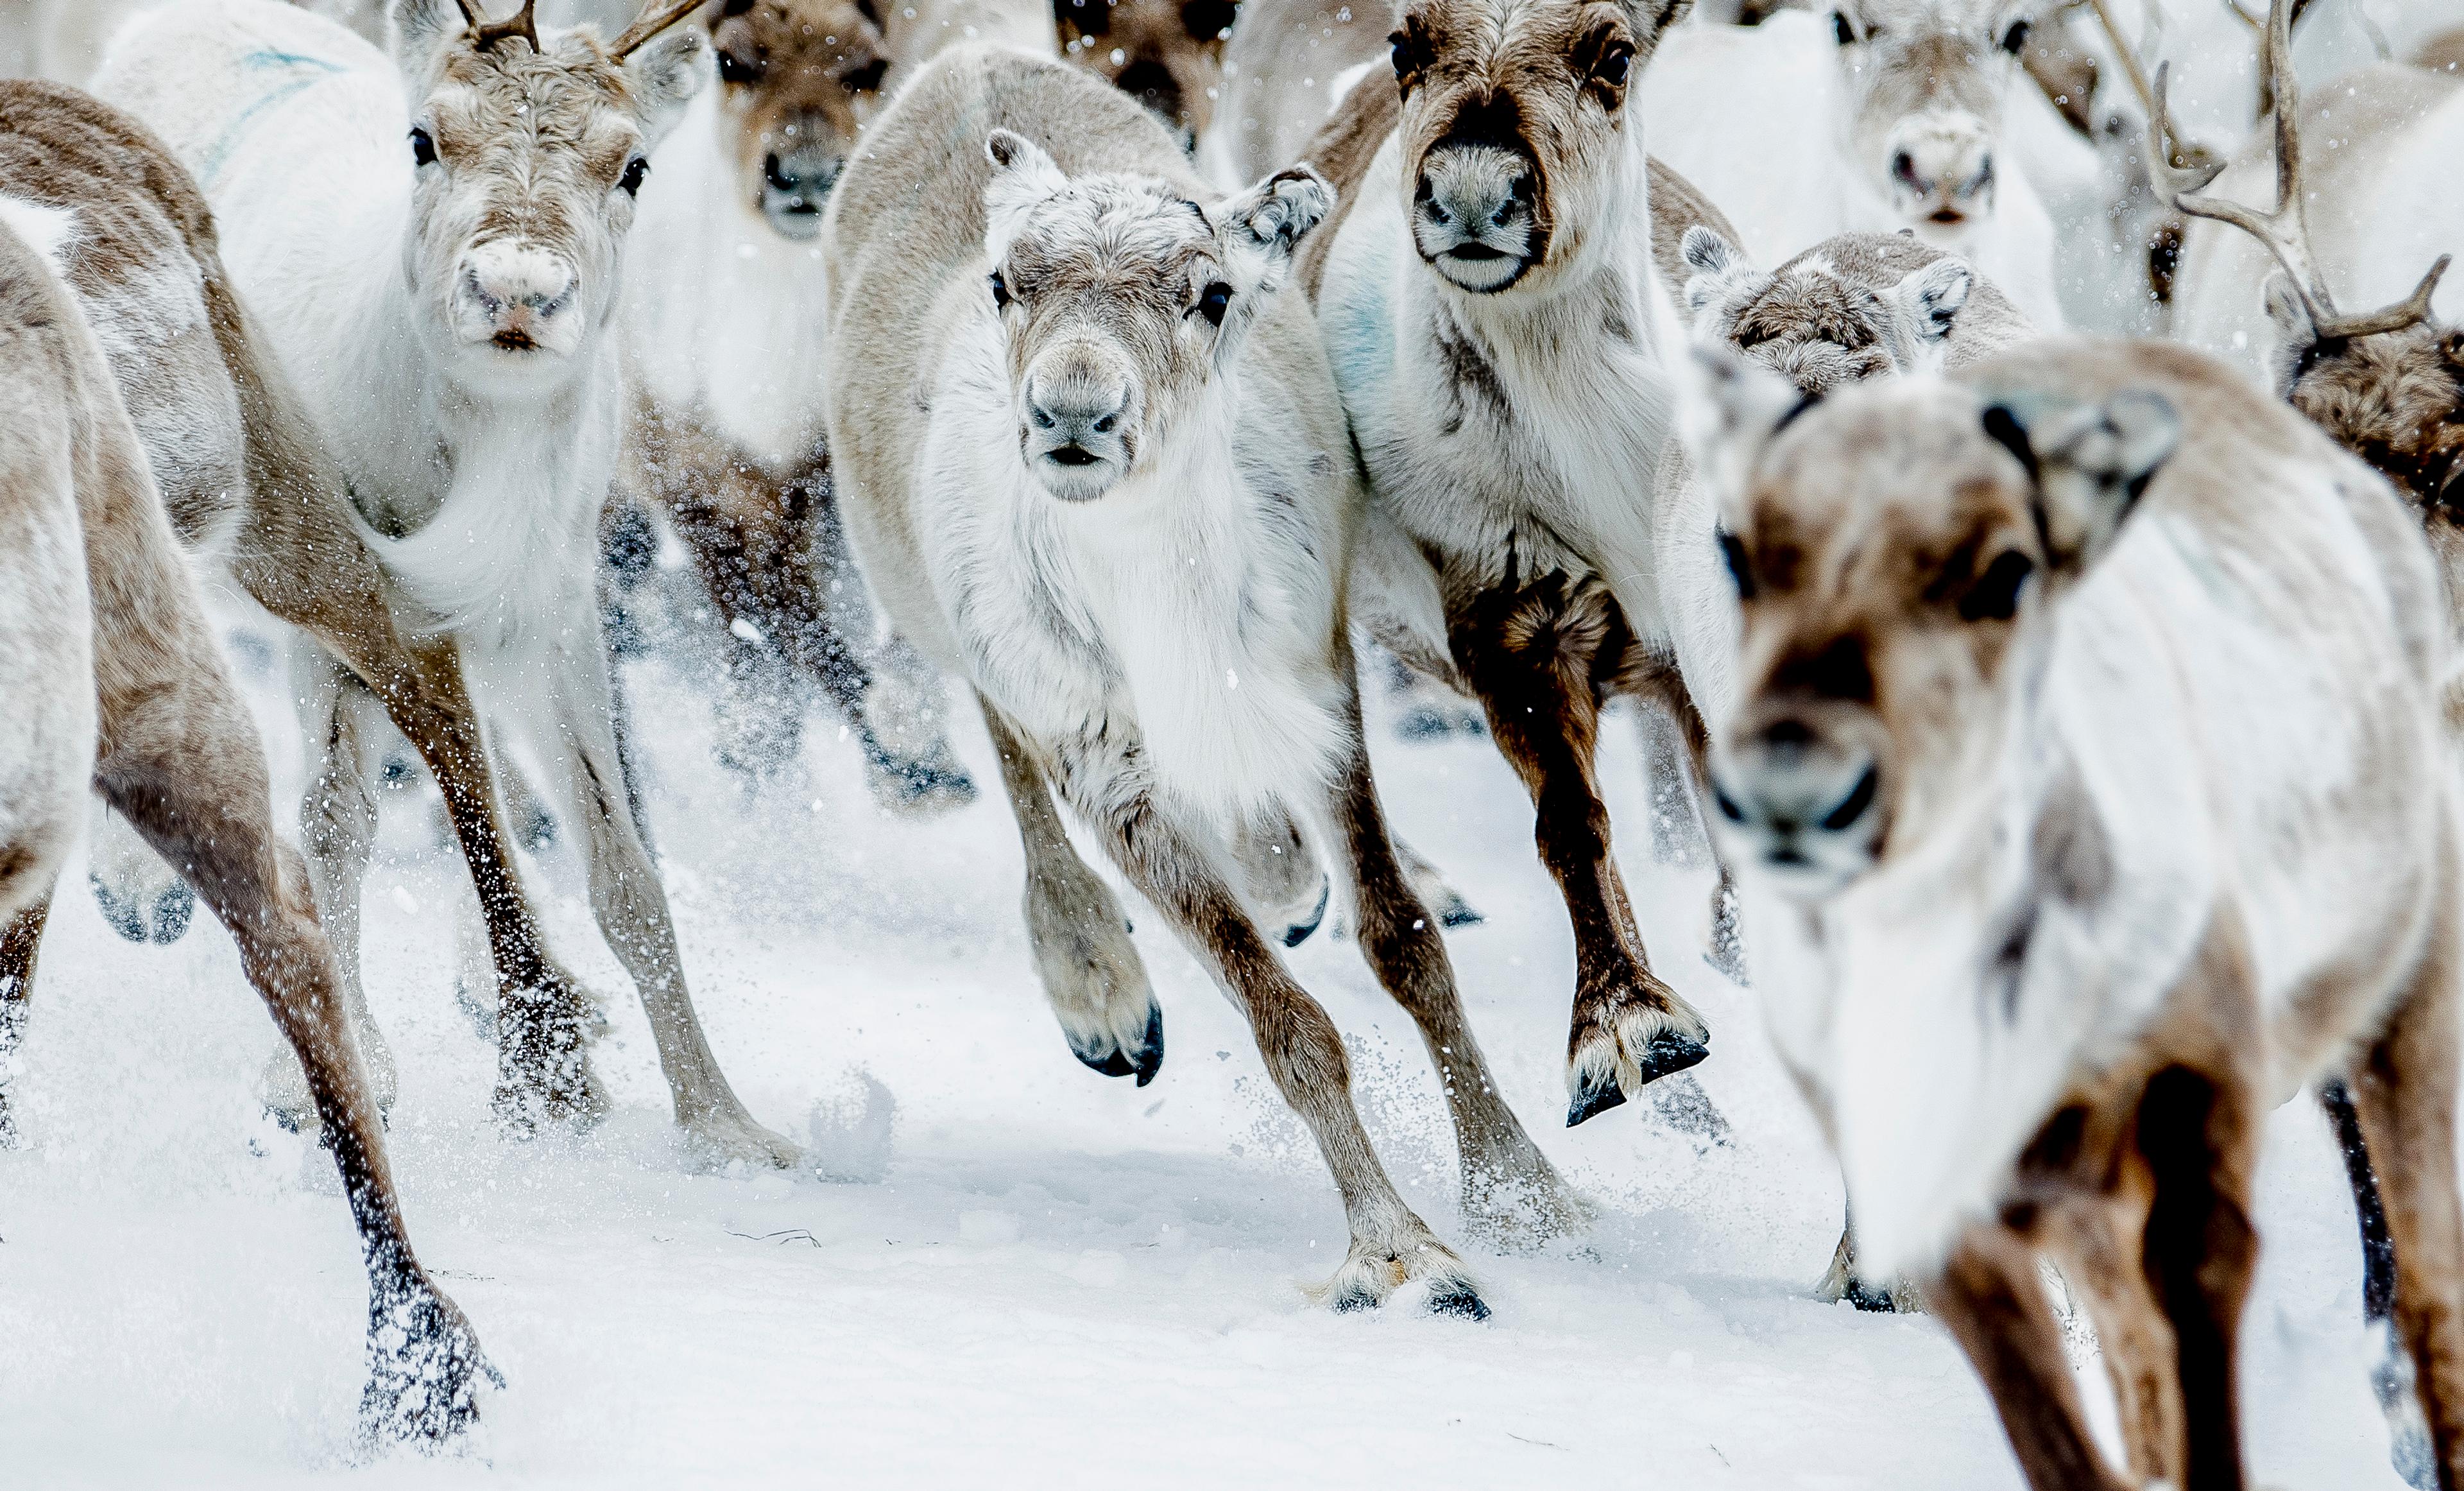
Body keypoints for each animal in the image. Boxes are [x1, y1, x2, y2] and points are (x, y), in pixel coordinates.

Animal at [94, 0, 807, 1169]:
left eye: (634, 165)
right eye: (426, 139)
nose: (518, 288)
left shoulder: (554, 613)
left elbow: (622, 865)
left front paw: (724, 1120)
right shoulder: (332, 598)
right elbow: (336, 824)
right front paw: (324, 1083)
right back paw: (136, 885)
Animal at [825, 43, 1586, 1305]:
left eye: (1213, 293)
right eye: (1007, 285)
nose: (1074, 414)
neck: (1166, 594)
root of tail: (964, 61)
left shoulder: (1319, 688)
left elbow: (1408, 946)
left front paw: (1527, 1188)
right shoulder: (1108, 767)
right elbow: (1288, 1023)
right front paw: (1401, 1251)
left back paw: (1286, 882)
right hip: (947, 619)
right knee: (1014, 774)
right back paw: (1099, 989)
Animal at [1688, 330, 2464, 1491]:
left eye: (2007, 569)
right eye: (1740, 551)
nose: (1797, 787)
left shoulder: (2197, 1087)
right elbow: (2067, 1428)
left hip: (2397, 1004)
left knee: (2424, 1286)